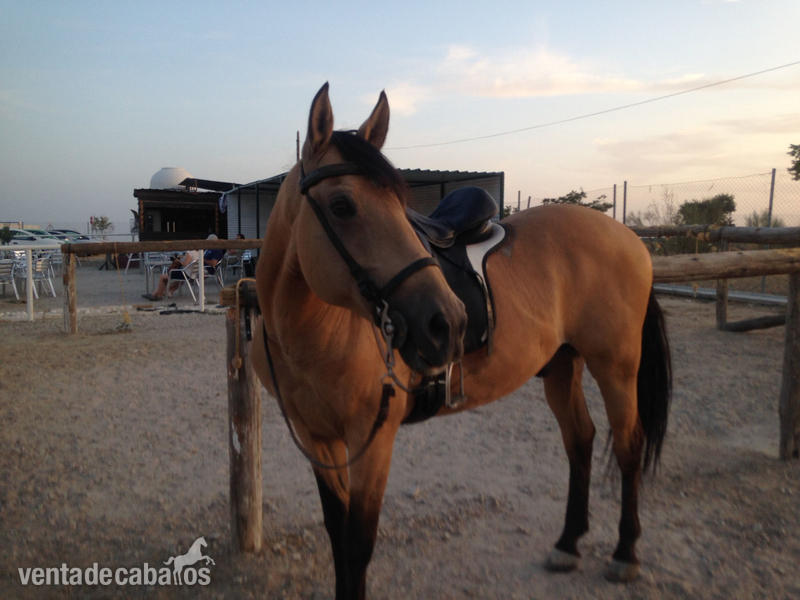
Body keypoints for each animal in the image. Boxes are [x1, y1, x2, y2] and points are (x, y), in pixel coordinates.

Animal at [251, 83, 671, 600]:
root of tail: (628, 237)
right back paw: (568, 544)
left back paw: (625, 553)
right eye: (342, 206)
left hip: (615, 366)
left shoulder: (373, 440)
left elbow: (357, 545)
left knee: (628, 445)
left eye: (400, 203)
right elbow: (336, 533)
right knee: (581, 440)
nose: (448, 322)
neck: (309, 335)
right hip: (561, 365)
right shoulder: (318, 439)